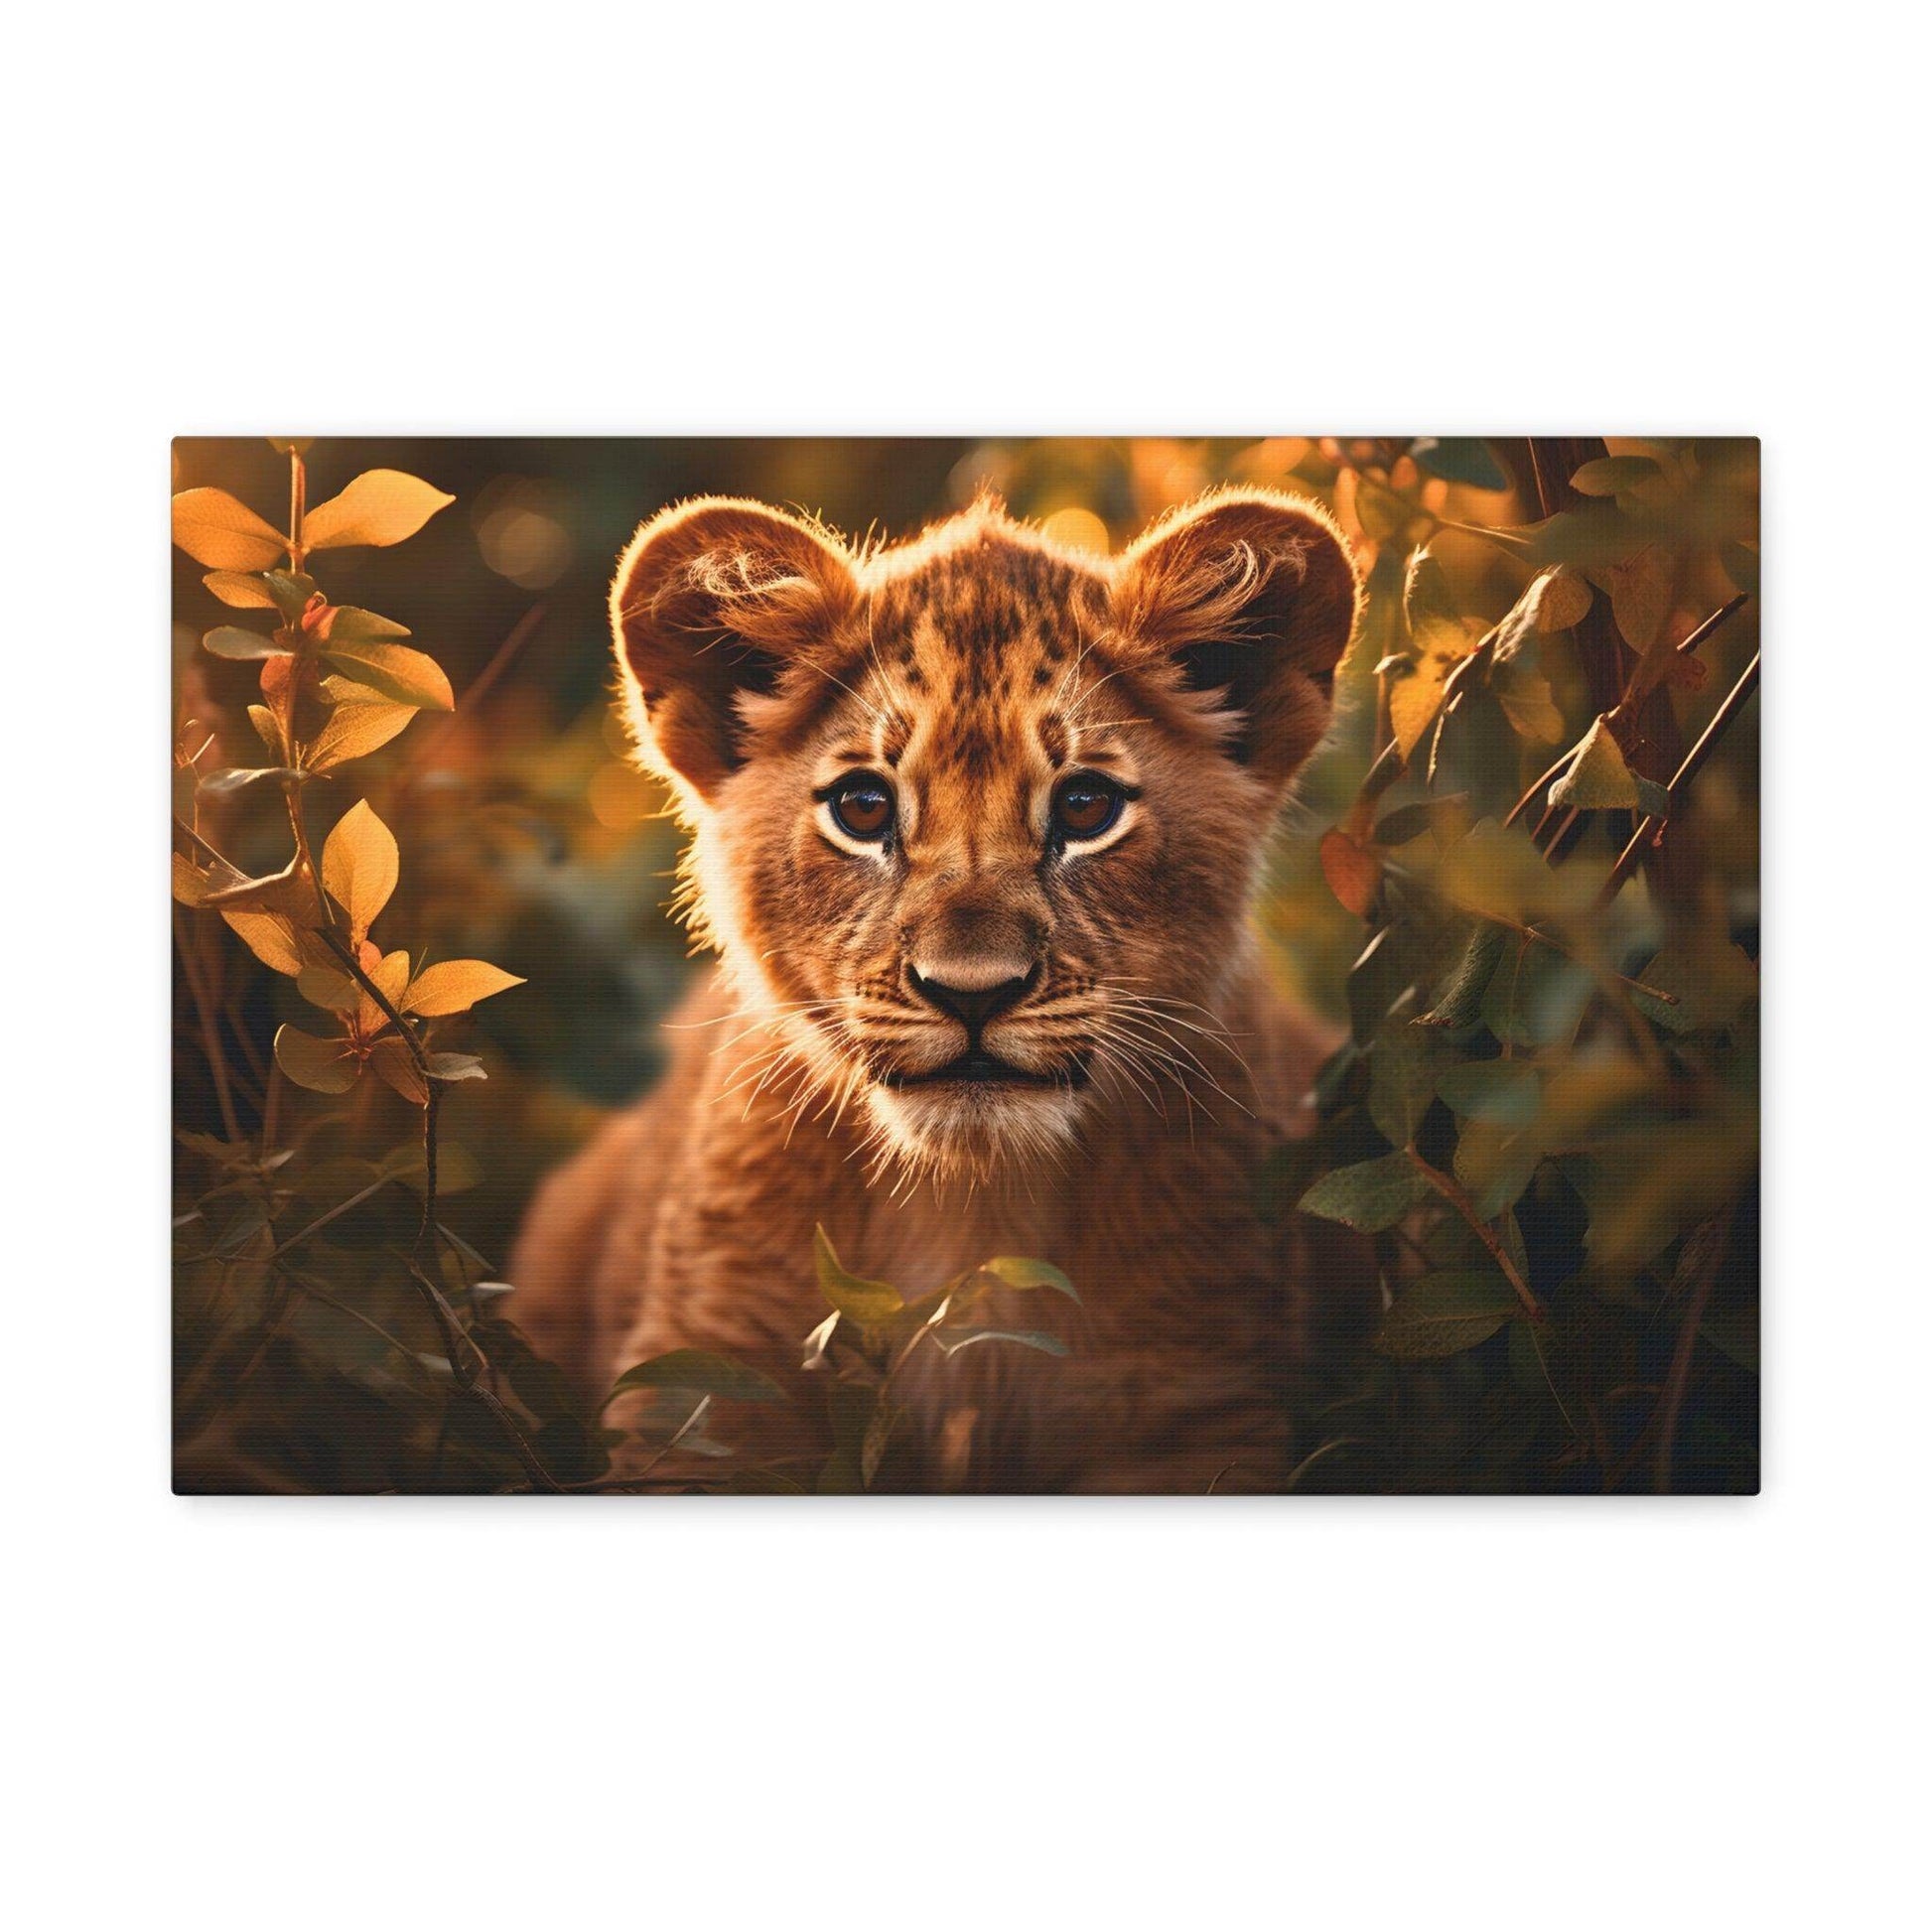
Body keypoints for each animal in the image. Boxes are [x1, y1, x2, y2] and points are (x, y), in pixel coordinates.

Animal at [508, 485, 1373, 1492]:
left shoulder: (1195, 1403)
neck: (974, 1209)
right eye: (863, 808)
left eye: (1085, 807)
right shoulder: (707, 1390)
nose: (972, 993)